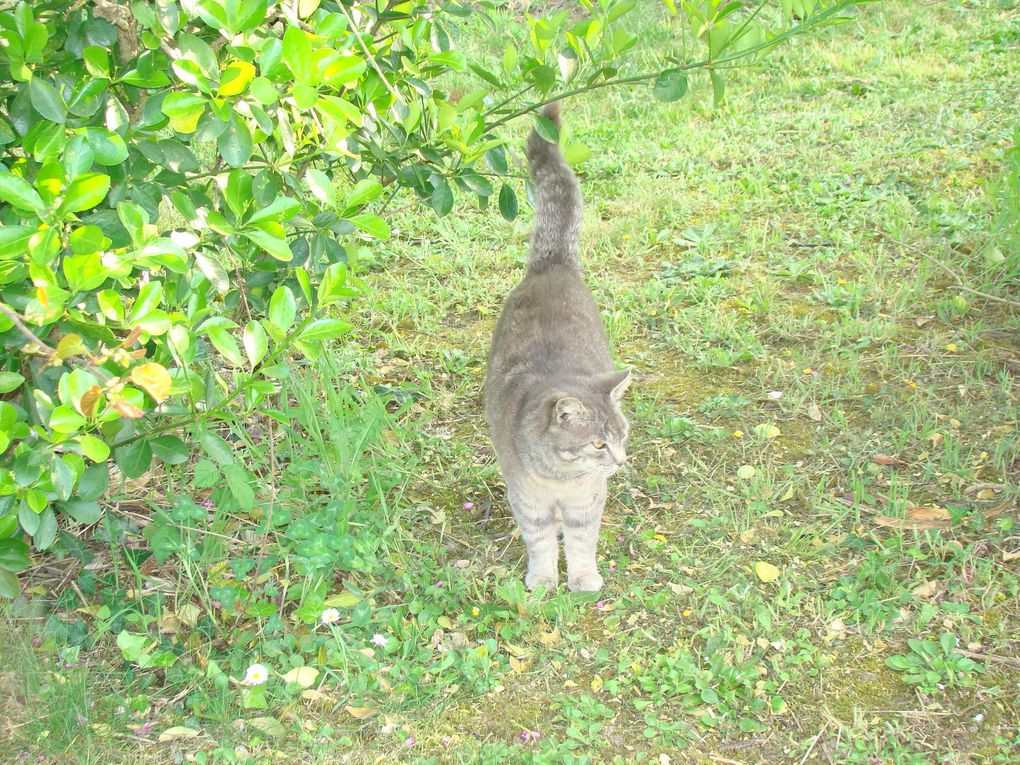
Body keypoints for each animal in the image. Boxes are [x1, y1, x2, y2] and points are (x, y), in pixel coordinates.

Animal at [483, 100, 628, 591]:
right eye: (599, 444)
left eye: (622, 436)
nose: (621, 462)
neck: (563, 479)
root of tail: (552, 262)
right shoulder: (528, 502)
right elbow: (541, 541)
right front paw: (543, 579)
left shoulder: (587, 503)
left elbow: (581, 542)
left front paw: (583, 579)